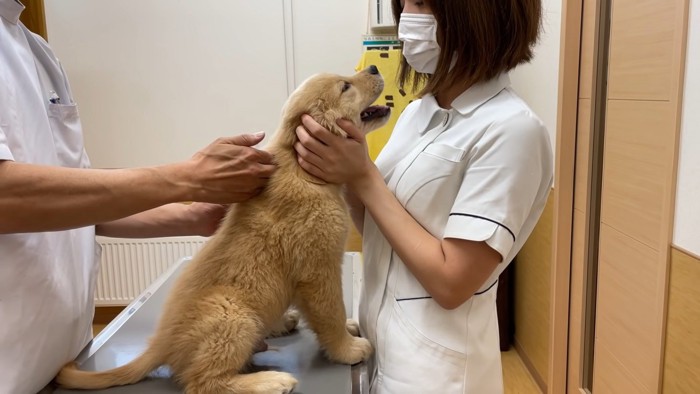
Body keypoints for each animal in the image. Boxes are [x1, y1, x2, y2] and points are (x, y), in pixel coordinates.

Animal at [53, 66, 394, 392]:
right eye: (345, 86)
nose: (375, 68)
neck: (302, 168)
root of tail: (160, 344)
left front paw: (348, 331)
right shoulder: (318, 269)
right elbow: (330, 312)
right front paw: (348, 348)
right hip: (232, 315)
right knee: (203, 382)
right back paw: (270, 382)